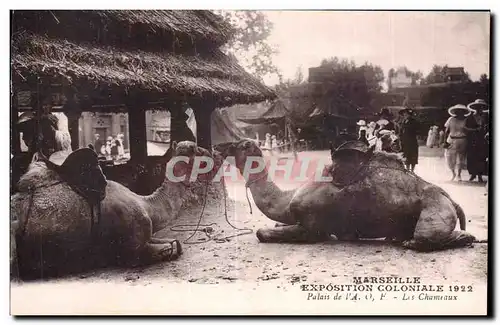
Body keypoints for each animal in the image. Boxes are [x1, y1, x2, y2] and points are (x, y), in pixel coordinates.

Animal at [11, 140, 211, 278]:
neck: (146, 204)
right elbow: (171, 248)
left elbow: (175, 243)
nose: (209, 151)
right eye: (195, 149)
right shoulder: (132, 250)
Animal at [215, 139, 476, 251]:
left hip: (435, 208)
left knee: (423, 239)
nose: (217, 146)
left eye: (238, 144)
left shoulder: (313, 228)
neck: (287, 200)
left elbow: (262, 232)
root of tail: (452, 200)